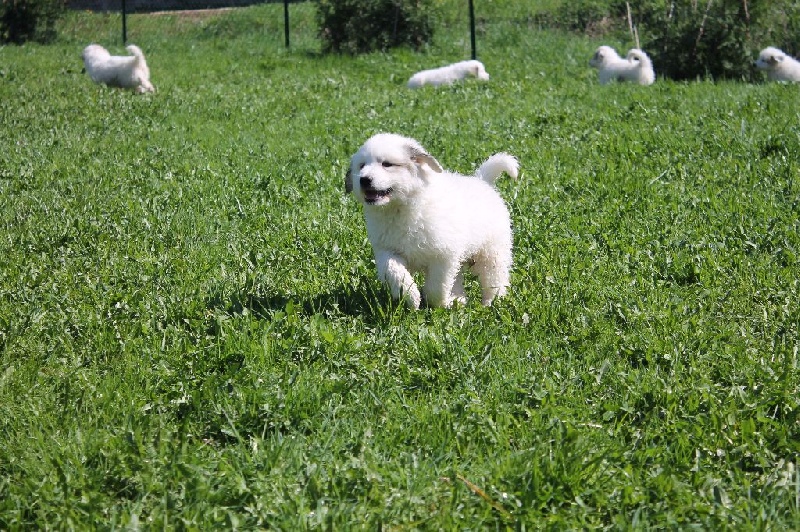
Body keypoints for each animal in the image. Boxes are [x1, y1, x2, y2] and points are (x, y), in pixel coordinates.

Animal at [346, 133, 519, 309]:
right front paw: (411, 296)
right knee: (458, 277)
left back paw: (491, 302)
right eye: (361, 166)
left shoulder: (443, 255)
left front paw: (436, 303)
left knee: (494, 277)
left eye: (387, 164)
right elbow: (394, 270)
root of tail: (482, 181)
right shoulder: (386, 250)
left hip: (492, 251)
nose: (364, 179)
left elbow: (437, 286)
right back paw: (458, 299)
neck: (400, 208)